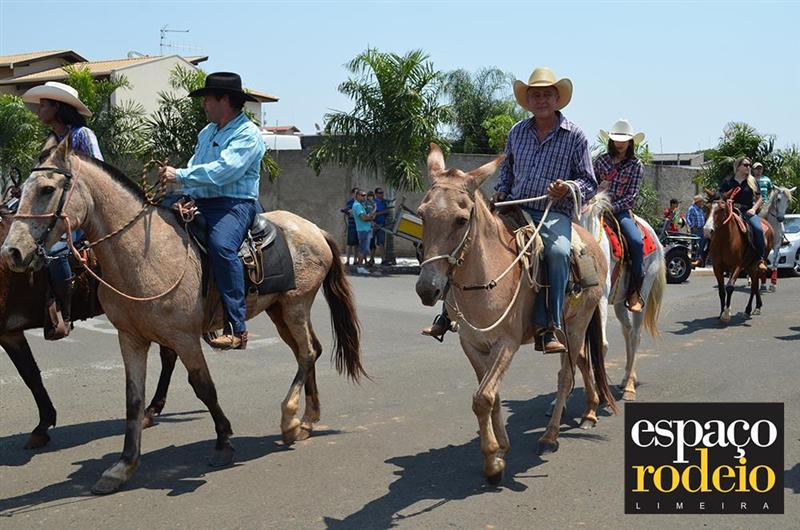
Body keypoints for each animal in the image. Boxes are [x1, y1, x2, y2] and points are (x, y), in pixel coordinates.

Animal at [414, 144, 616, 484]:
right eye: (422, 214)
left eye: (461, 220)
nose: (427, 288)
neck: (485, 279)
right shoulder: (472, 344)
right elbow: (490, 396)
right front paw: (500, 449)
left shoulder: (505, 344)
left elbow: (483, 397)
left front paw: (493, 465)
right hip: (564, 328)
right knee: (582, 361)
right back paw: (589, 412)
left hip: (579, 323)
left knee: (566, 376)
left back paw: (550, 437)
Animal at [580, 192, 666, 401]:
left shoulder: (600, 300)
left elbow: (601, 345)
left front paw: (599, 393)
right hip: (619, 302)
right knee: (627, 331)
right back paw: (627, 377)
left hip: (642, 295)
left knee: (635, 335)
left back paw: (629, 387)